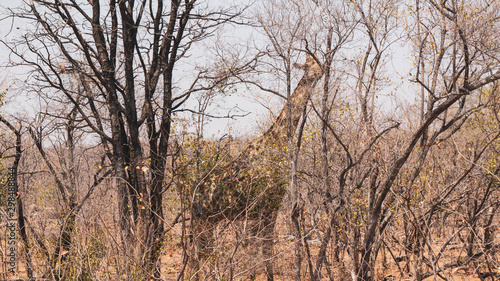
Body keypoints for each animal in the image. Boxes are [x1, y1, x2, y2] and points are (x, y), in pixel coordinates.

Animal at [189, 54, 322, 278]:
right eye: (308, 65)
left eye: (318, 62)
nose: (321, 72)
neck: (276, 140)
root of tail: (192, 196)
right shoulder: (266, 207)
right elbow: (262, 248)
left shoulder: (264, 209)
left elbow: (260, 247)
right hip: (204, 221)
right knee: (200, 253)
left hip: (206, 222)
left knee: (198, 252)